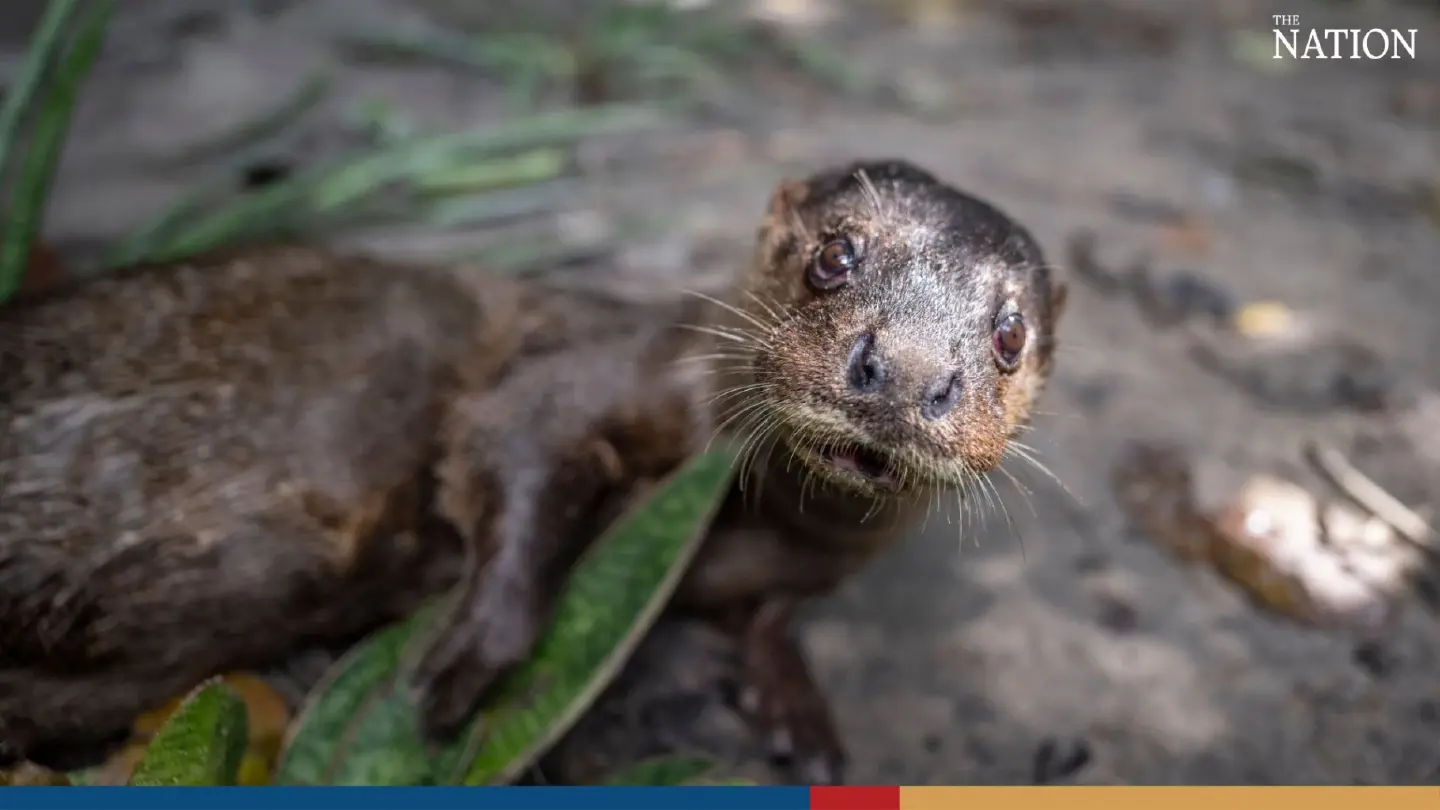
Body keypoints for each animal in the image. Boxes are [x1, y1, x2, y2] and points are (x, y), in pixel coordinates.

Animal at [0, 160, 1065, 783]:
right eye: (834, 258)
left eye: (1009, 334)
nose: (910, 374)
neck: (745, 520)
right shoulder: (575, 375)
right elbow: (517, 445)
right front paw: (460, 667)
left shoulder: (812, 561)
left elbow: (770, 613)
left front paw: (795, 709)